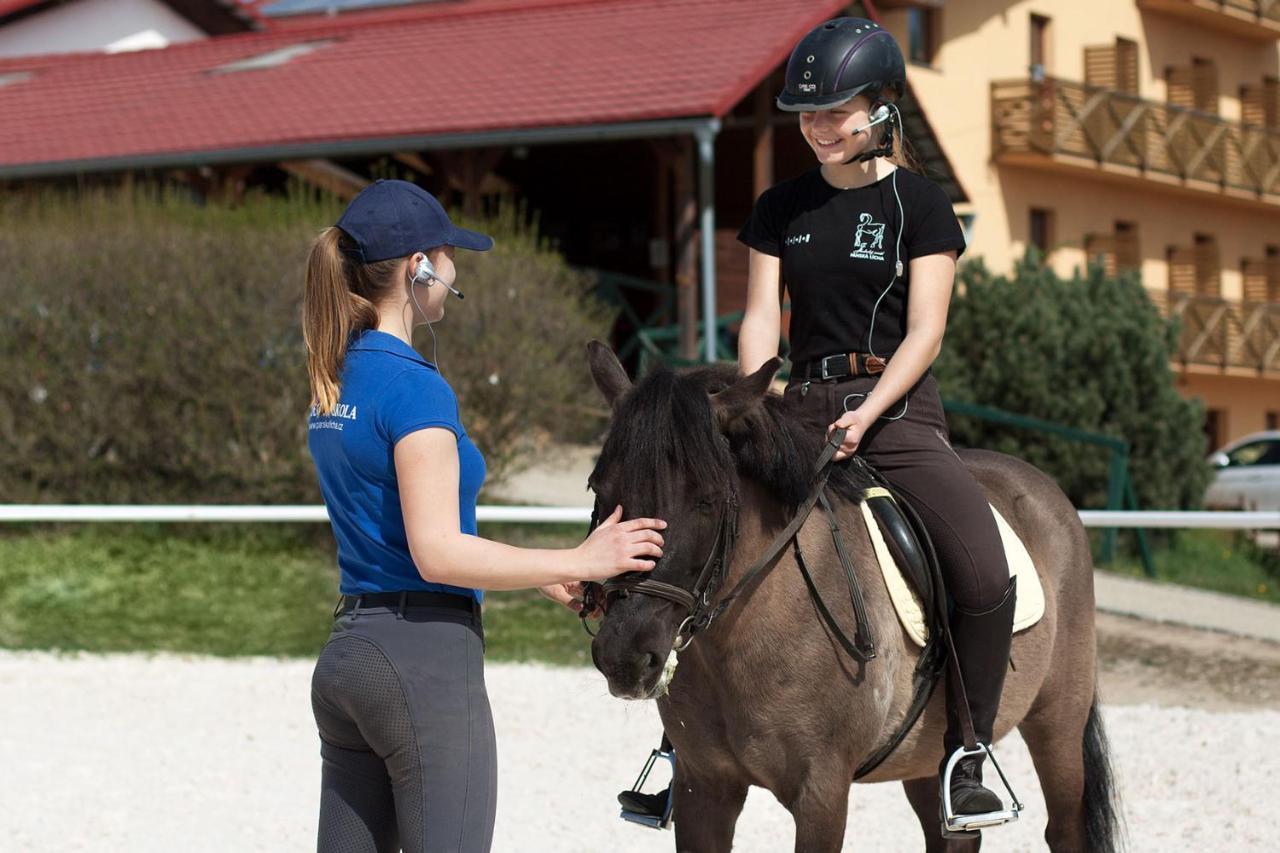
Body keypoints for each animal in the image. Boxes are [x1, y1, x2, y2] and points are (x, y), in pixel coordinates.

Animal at [586, 343, 1116, 850]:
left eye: (708, 500)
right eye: (599, 488)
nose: (624, 657)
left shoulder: (821, 791)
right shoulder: (705, 788)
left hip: (1057, 724)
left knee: (1063, 828)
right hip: (925, 759)